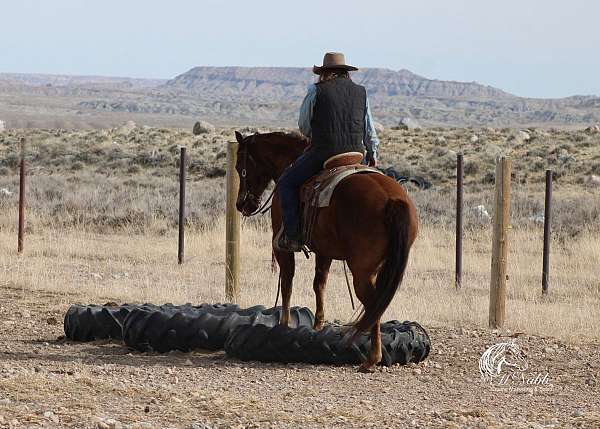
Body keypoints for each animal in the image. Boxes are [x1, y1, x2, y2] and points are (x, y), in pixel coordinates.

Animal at [232, 130, 420, 372]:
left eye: (240, 166)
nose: (241, 205)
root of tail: (392, 200)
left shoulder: (281, 247)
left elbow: (287, 283)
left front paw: (283, 325)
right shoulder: (325, 251)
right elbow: (319, 284)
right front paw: (318, 327)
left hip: (361, 271)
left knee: (373, 305)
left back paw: (372, 358)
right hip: (380, 268)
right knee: (376, 304)